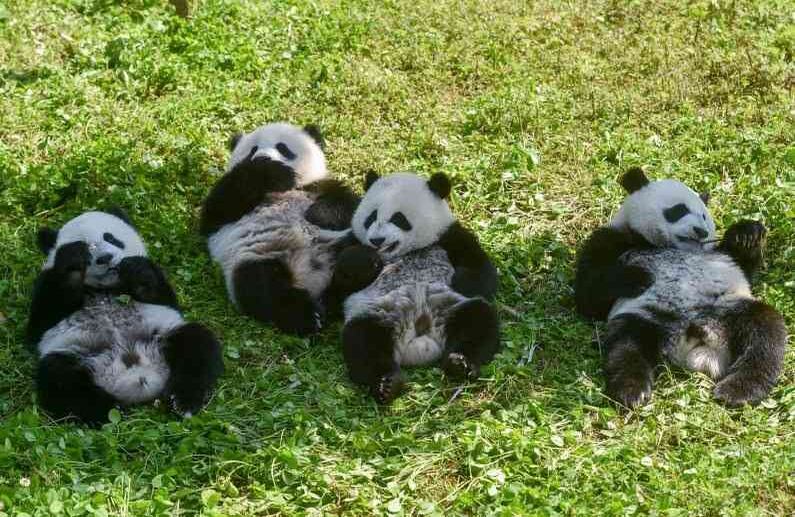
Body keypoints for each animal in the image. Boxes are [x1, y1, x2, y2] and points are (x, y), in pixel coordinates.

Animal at [27, 209, 224, 425]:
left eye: (111, 238)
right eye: (87, 246)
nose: (105, 257)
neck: (106, 288)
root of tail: (138, 376)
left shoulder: (157, 289)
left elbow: (163, 297)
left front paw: (134, 269)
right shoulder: (46, 284)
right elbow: (40, 324)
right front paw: (73, 262)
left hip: (164, 335)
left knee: (196, 345)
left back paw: (181, 401)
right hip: (78, 354)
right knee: (61, 380)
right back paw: (111, 410)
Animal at [200, 122, 359, 336]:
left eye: (283, 148)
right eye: (252, 150)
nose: (263, 157)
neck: (282, 190)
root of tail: (314, 283)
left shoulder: (317, 186)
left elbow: (349, 203)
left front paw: (318, 215)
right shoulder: (223, 218)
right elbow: (218, 209)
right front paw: (267, 169)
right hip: (258, 256)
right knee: (262, 286)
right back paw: (308, 315)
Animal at [329, 171, 500, 404]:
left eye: (398, 218)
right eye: (371, 217)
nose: (376, 240)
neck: (406, 252)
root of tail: (420, 337)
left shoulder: (448, 236)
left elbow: (482, 271)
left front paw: (461, 281)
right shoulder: (351, 244)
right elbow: (338, 287)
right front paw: (367, 260)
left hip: (451, 306)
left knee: (478, 322)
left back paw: (460, 363)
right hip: (379, 313)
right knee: (363, 341)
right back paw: (387, 383)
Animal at [575, 167, 788, 408]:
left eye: (704, 215)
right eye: (679, 210)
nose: (701, 231)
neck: (668, 246)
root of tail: (694, 340)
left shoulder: (720, 258)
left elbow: (743, 267)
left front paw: (747, 235)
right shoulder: (613, 238)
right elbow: (589, 295)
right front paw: (639, 277)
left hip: (728, 309)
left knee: (765, 335)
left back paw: (737, 390)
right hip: (649, 316)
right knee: (626, 345)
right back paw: (632, 390)